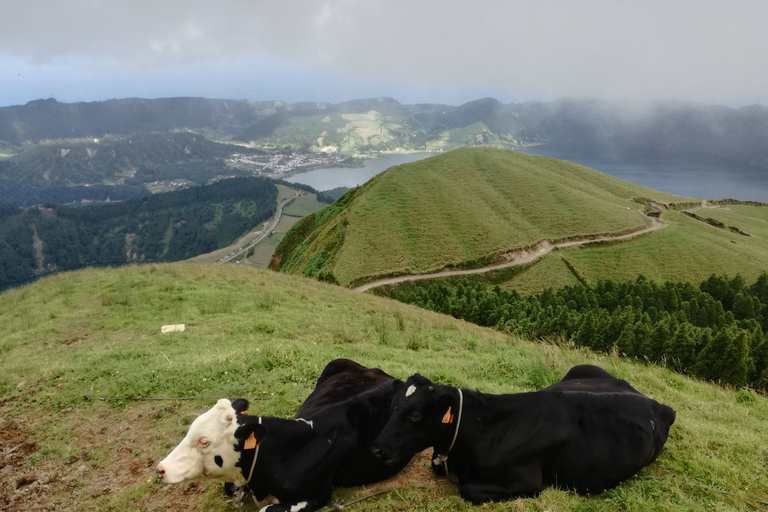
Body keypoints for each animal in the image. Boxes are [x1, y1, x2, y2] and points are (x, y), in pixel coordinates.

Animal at [368, 364, 676, 504]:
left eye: (415, 415)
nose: (378, 448)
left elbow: (468, 488)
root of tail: (658, 404)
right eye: (393, 406)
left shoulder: (528, 483)